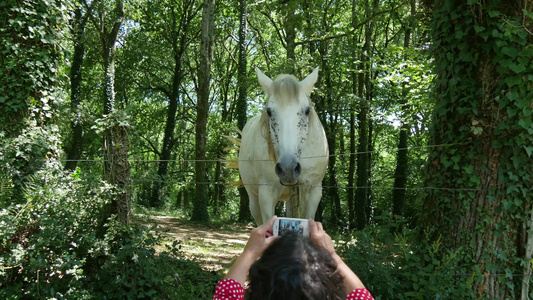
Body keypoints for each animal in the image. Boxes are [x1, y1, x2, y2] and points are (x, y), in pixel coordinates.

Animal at [238, 67, 328, 224]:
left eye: (307, 110)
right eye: (269, 112)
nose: (288, 169)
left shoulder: (314, 190)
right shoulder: (266, 193)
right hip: (253, 197)